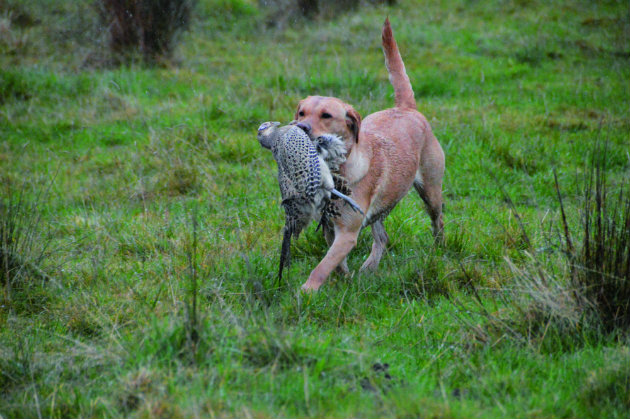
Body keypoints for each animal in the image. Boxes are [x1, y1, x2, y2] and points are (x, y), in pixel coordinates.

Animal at [296, 17, 446, 292]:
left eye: (326, 115)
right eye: (302, 112)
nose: (301, 128)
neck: (338, 171)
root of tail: (406, 108)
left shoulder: (347, 233)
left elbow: (322, 267)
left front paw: (307, 291)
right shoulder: (330, 228)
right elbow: (336, 263)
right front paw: (344, 278)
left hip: (430, 191)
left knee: (437, 222)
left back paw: (439, 250)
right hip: (382, 206)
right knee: (383, 237)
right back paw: (369, 267)